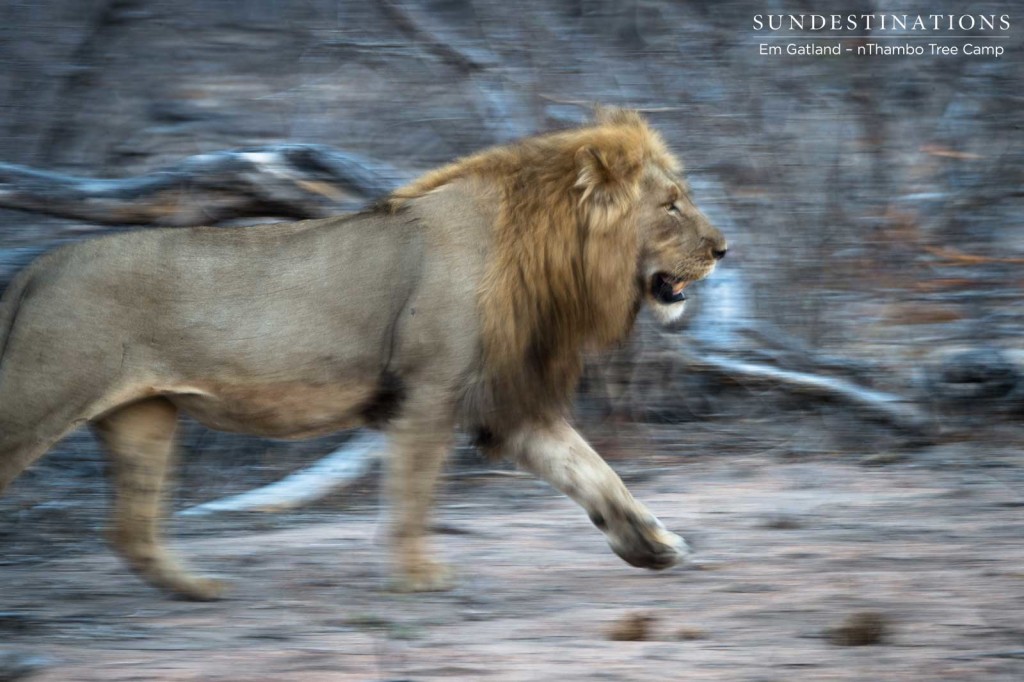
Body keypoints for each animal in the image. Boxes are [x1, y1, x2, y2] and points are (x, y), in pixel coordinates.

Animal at [0, 109, 729, 598]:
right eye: (671, 205)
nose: (724, 249)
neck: (555, 261)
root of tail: (37, 267)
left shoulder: (507, 402)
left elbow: (596, 474)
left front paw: (655, 548)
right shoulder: (429, 392)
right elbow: (412, 493)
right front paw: (417, 576)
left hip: (143, 418)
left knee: (129, 530)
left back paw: (199, 590)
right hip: (39, 399)